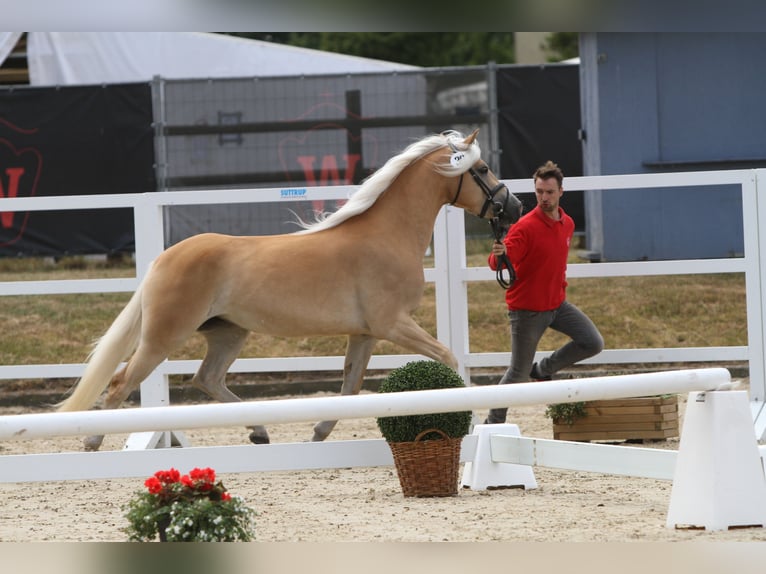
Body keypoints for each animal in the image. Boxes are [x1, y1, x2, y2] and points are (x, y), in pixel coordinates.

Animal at [56, 129, 522, 451]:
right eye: (482, 170)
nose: (514, 206)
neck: (387, 234)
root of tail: (163, 259)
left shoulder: (365, 333)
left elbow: (350, 389)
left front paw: (317, 433)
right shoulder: (393, 324)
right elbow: (448, 358)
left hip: (228, 333)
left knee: (207, 378)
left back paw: (260, 432)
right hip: (163, 337)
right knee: (122, 381)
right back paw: (92, 442)